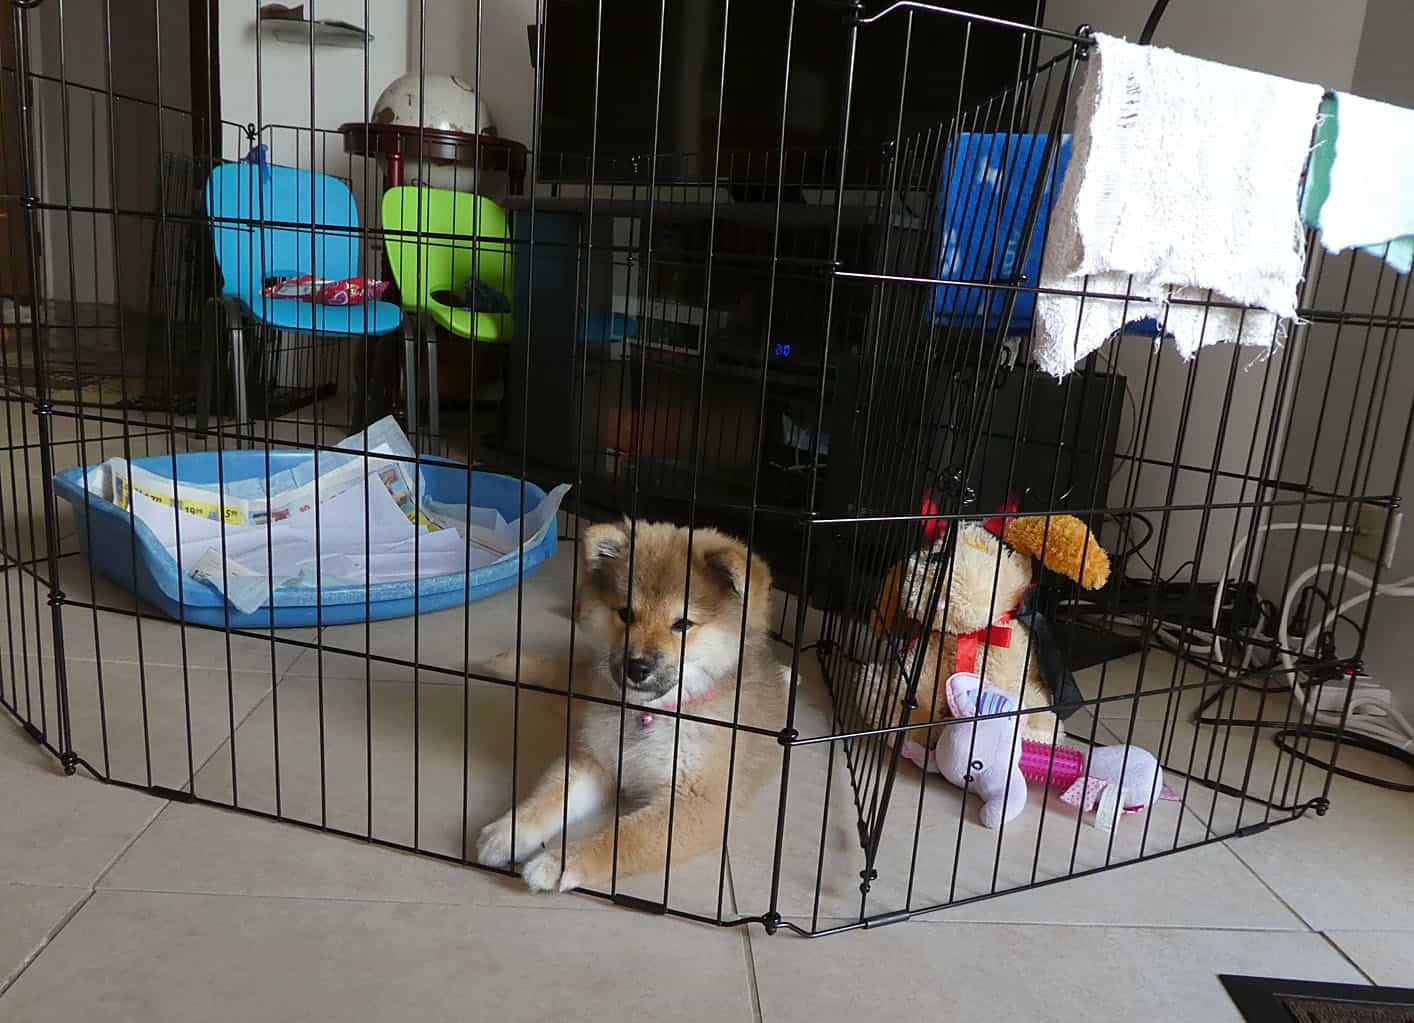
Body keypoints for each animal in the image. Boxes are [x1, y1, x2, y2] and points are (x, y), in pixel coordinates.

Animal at [475, 523, 786, 894]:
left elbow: (623, 838)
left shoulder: (697, 802)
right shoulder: (597, 759)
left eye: (683, 624)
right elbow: (549, 796)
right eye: (625, 614)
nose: (636, 668)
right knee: (564, 676)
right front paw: (509, 831)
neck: (652, 714)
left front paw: (557, 862)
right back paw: (507, 663)